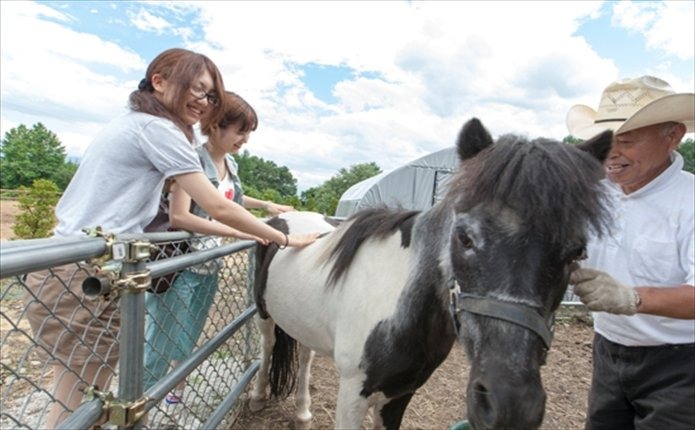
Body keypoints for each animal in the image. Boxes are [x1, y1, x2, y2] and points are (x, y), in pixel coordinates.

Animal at [249, 118, 608, 430]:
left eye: (577, 251)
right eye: (464, 237)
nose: (511, 405)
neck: (397, 306)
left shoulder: (401, 393)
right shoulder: (352, 395)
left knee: (305, 355)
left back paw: (303, 414)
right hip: (264, 314)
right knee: (268, 345)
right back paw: (258, 397)